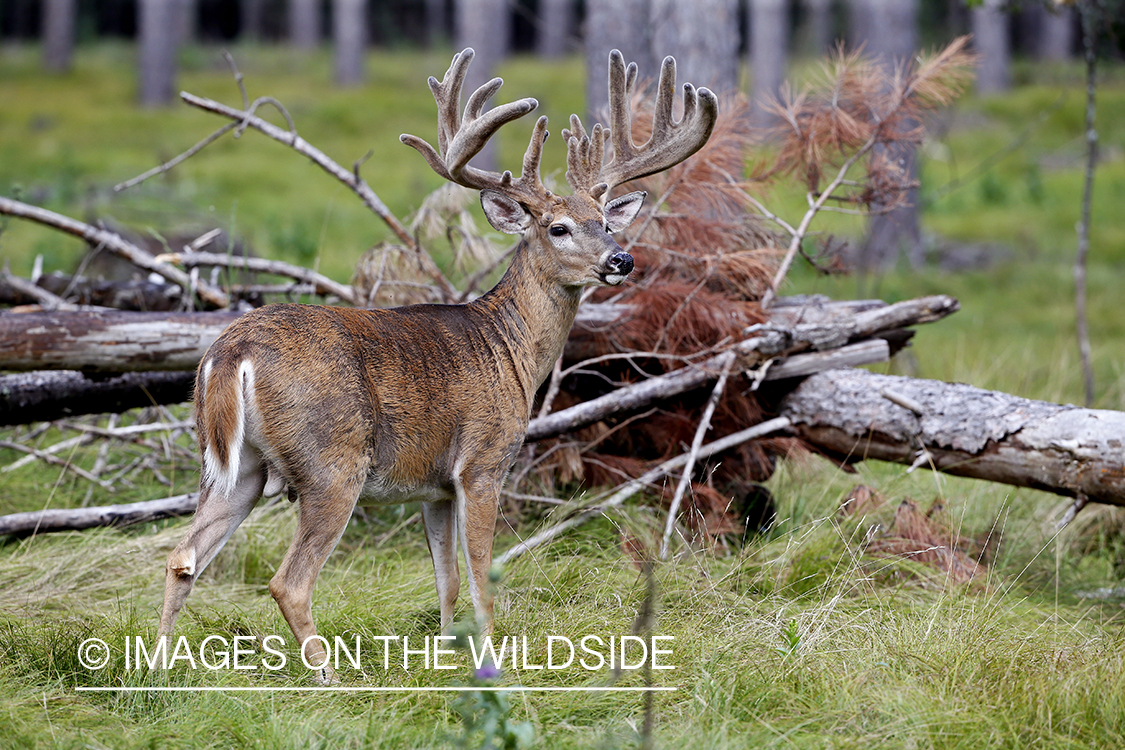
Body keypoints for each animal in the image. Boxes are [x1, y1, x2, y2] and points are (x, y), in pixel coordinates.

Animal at [158, 45, 715, 679]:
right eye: (559, 227)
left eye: (607, 221)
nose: (621, 259)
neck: (511, 351)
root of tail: (231, 351)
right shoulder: (482, 463)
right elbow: (480, 579)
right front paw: (492, 664)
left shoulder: (433, 487)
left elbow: (446, 581)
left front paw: (448, 659)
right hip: (332, 461)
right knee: (288, 582)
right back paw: (330, 679)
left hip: (236, 465)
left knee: (182, 556)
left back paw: (157, 669)